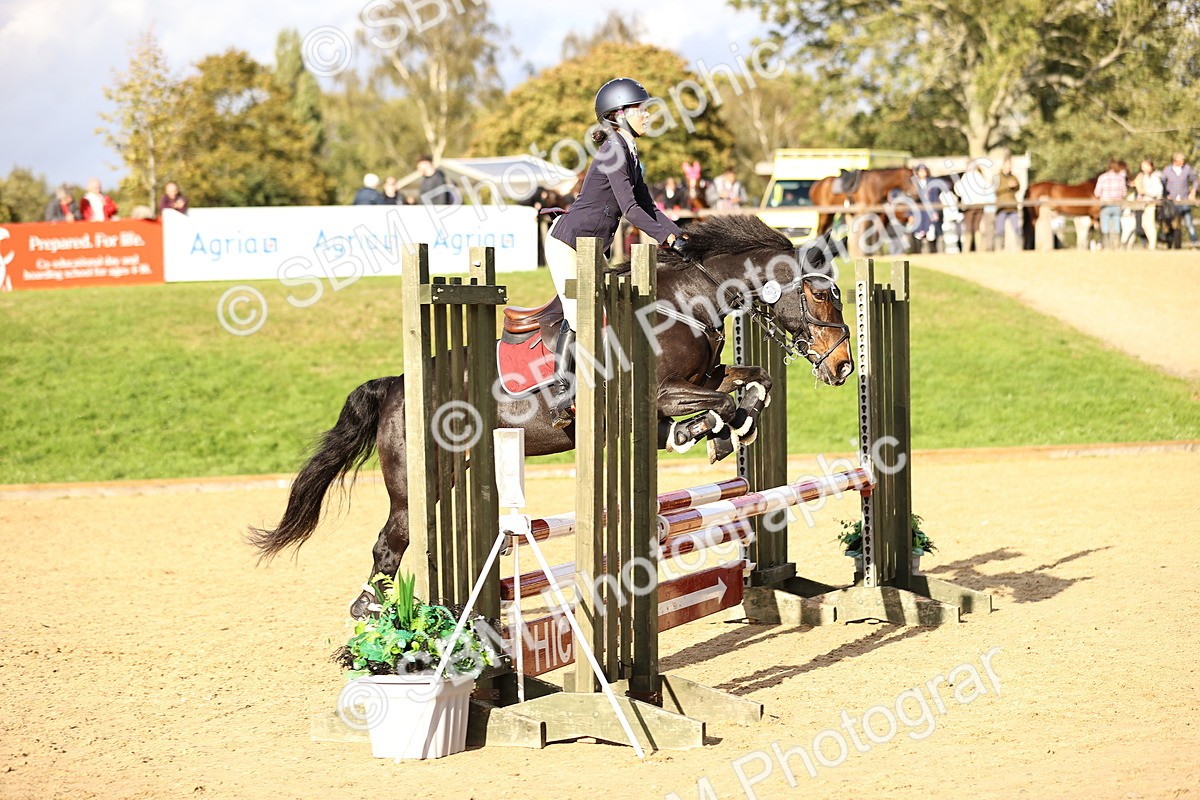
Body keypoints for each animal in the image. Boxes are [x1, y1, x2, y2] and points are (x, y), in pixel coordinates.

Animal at [247, 215, 855, 618]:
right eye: (823, 296)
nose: (844, 366)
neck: (686, 299)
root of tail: (398, 386)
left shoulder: (703, 377)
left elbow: (751, 382)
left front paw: (733, 428)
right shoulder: (663, 393)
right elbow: (717, 401)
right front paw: (706, 431)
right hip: (419, 483)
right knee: (390, 543)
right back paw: (374, 615)